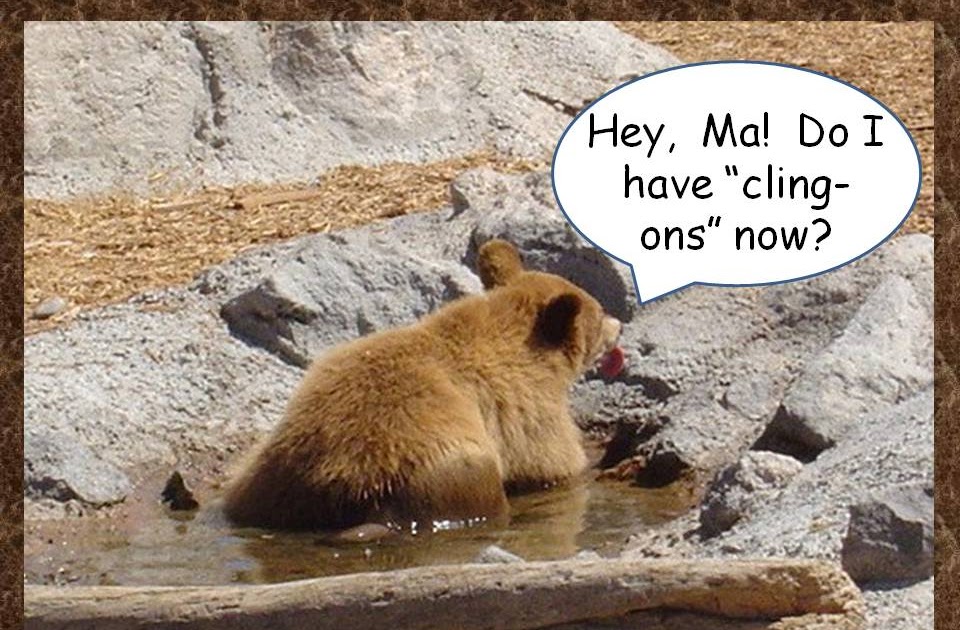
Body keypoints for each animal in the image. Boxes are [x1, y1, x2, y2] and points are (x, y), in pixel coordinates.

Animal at [223, 239, 624, 531]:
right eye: (600, 312)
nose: (619, 325)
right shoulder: (527, 405)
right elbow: (552, 460)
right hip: (442, 466)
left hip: (262, 471)